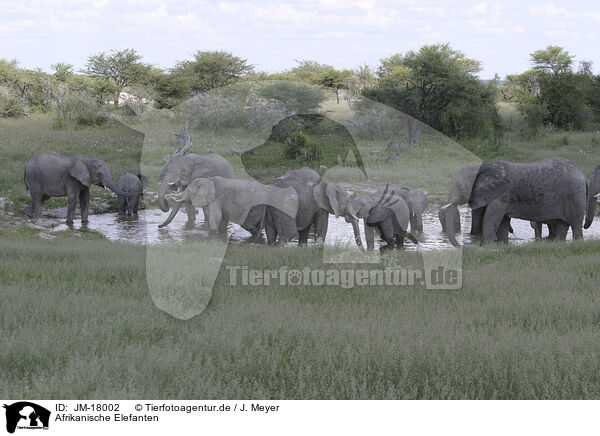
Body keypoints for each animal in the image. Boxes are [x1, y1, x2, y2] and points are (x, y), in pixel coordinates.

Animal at [440, 158, 584, 247]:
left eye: (460, 186)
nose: (461, 246)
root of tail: (582, 174)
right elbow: (503, 222)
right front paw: (502, 245)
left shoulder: (501, 195)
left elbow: (491, 219)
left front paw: (485, 247)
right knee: (562, 225)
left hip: (574, 197)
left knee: (576, 225)